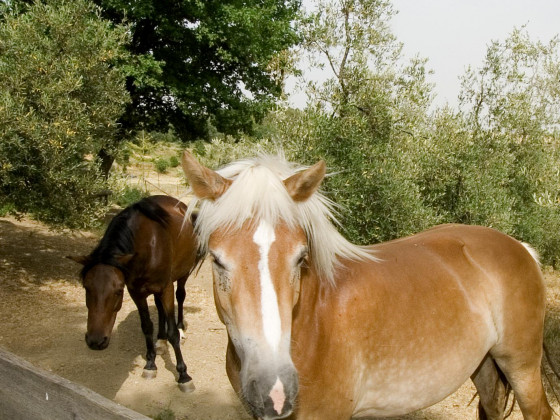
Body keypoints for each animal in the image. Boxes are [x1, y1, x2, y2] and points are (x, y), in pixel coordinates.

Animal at [67, 195, 199, 392]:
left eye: (117, 291)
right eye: (86, 287)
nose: (95, 341)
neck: (148, 246)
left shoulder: (166, 288)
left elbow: (173, 332)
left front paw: (183, 375)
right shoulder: (136, 292)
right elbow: (146, 326)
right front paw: (150, 364)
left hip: (183, 273)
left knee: (181, 296)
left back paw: (181, 328)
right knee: (159, 307)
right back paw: (161, 340)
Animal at [182, 152, 552, 420]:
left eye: (300, 257)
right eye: (217, 260)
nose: (275, 390)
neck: (313, 323)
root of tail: (521, 247)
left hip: (521, 367)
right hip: (485, 366)